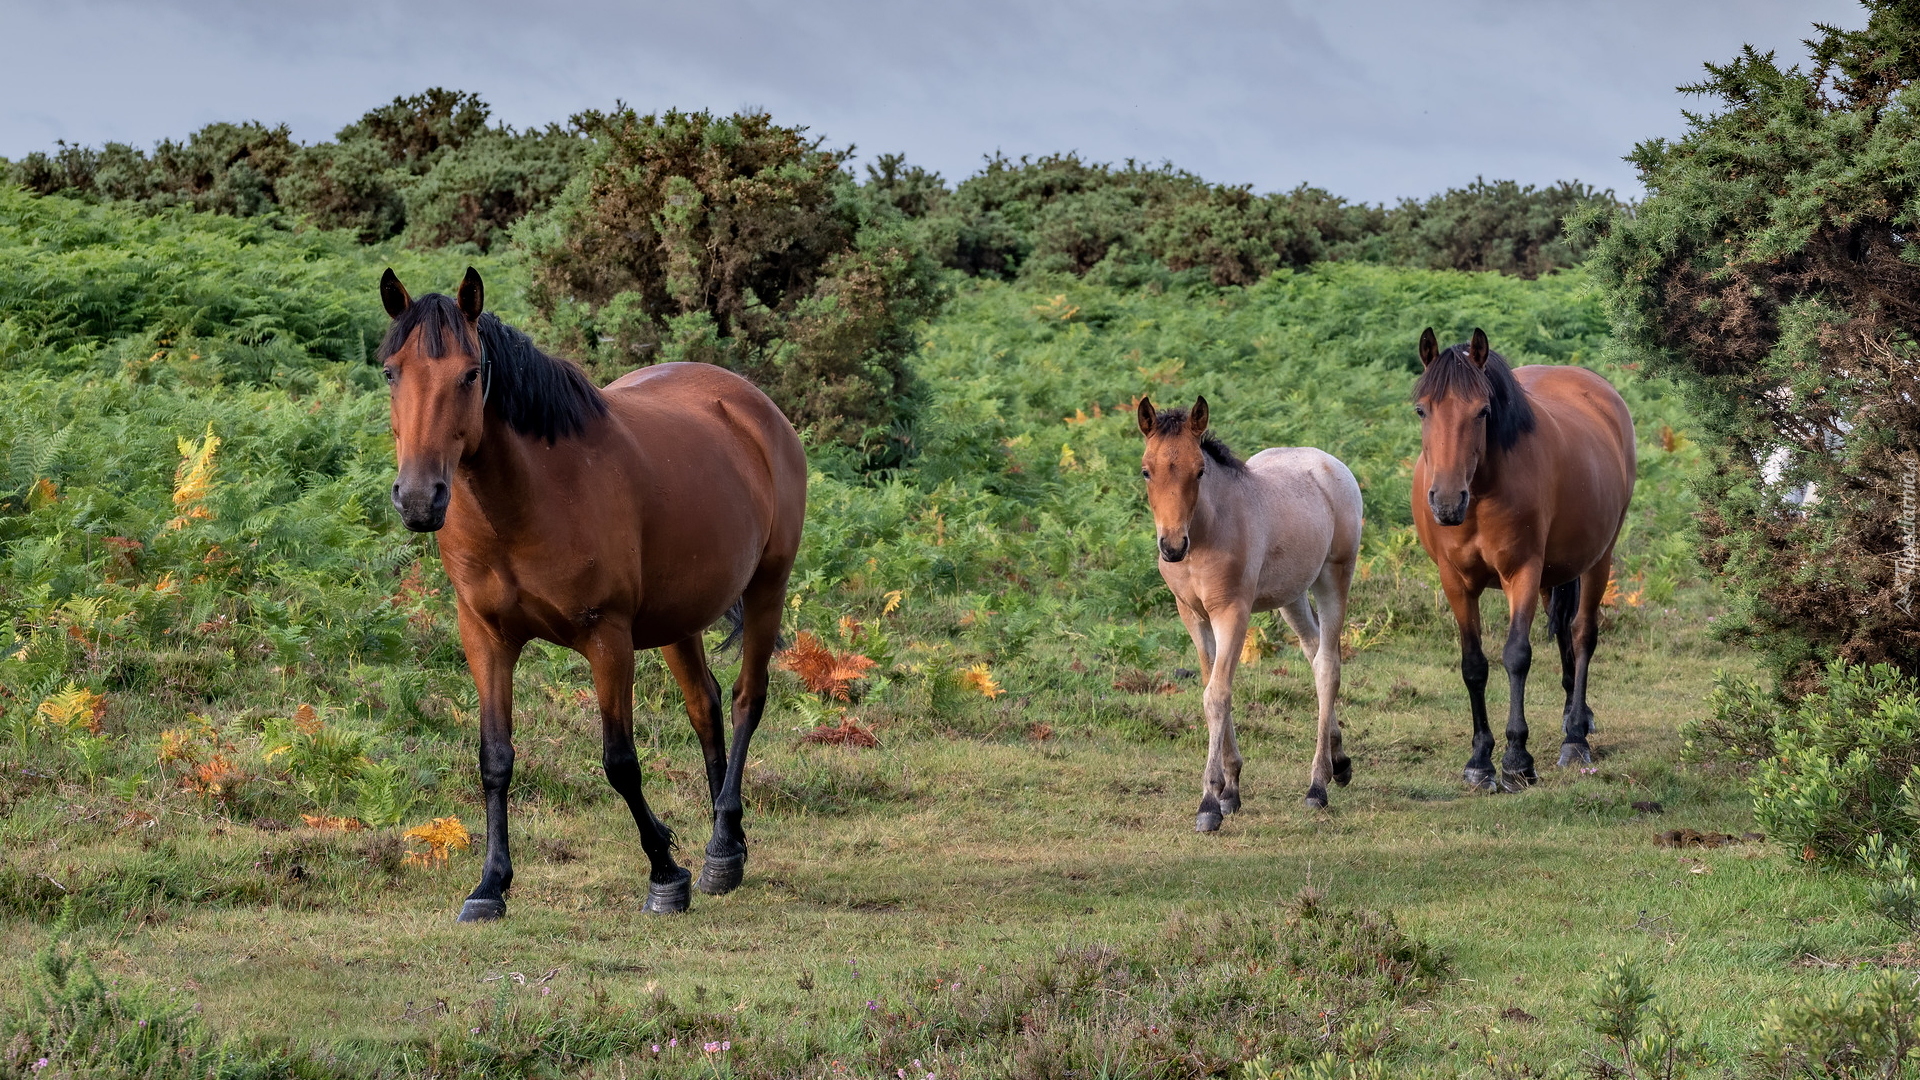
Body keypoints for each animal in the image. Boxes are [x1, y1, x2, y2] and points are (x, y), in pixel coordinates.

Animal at [374, 267, 802, 914]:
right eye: (390, 371)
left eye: (469, 374)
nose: (421, 499)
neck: (532, 498)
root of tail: (752, 405)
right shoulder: (485, 638)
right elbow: (495, 759)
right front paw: (491, 884)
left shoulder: (608, 637)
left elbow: (620, 761)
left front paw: (665, 873)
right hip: (678, 619)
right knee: (704, 707)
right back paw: (726, 844)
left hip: (767, 587)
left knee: (746, 699)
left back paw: (721, 850)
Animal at [1136, 395, 1367, 822]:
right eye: (1146, 471)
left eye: (1199, 471)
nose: (1172, 547)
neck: (1208, 532)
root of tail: (1327, 462)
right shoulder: (1192, 615)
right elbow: (1211, 684)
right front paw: (1231, 789)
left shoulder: (1232, 613)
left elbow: (1217, 695)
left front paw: (1209, 802)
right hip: (1291, 595)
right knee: (1314, 653)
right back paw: (1339, 761)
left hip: (1334, 577)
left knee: (1328, 664)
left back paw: (1318, 784)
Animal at [1413, 328, 1635, 791]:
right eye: (1422, 409)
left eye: (1482, 412)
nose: (1447, 501)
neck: (1481, 493)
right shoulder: (1454, 580)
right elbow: (1474, 665)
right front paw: (1480, 760)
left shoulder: (1523, 572)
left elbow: (1516, 655)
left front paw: (1517, 759)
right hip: (1558, 571)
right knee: (1566, 632)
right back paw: (1573, 717)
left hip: (1598, 559)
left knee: (1583, 634)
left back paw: (1574, 737)